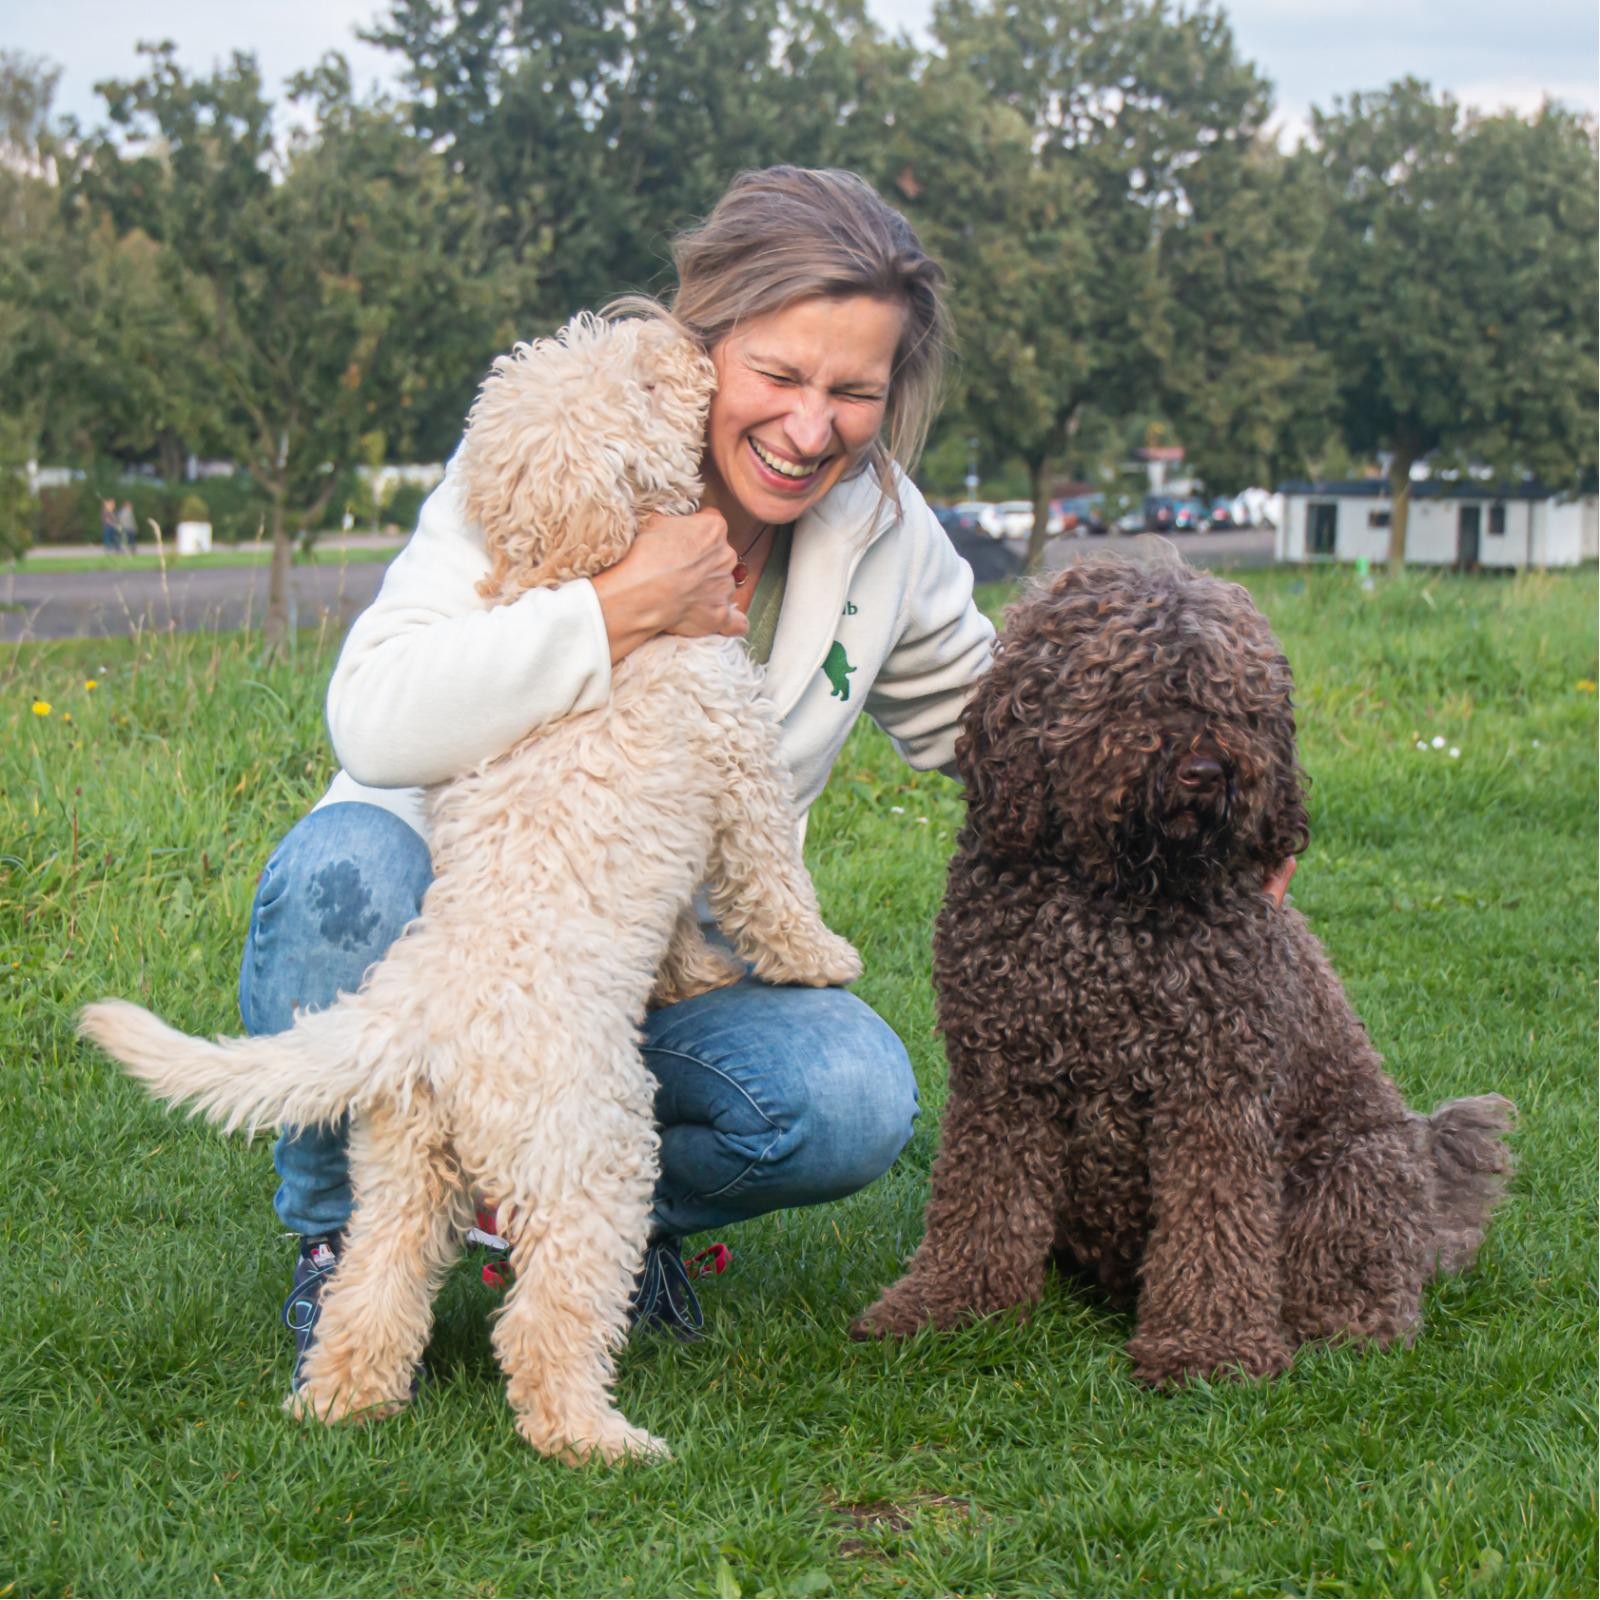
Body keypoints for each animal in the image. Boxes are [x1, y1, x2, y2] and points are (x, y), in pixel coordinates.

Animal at [81, 312, 864, 1465]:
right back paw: (600, 1439)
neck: (571, 567)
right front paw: (818, 958)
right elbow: (772, 878)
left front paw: (693, 975)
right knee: (543, 1325)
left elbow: (687, 924)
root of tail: (420, 1012)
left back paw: (339, 1402)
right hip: (592, 1152)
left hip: (403, 1164)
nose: (679, 336)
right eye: (640, 383)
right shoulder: (736, 763)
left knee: (374, 1289)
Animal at [857, 556, 1504, 1382]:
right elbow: (981, 1206)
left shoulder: (1213, 1094)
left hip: (1357, 1169)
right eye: (1128, 687)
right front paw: (946, 1307)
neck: (1111, 903)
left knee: (1364, 1280)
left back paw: (1349, 1322)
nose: (1205, 769)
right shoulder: (1003, 1082)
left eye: (1239, 701)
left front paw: (1208, 1347)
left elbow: (1213, 1225)